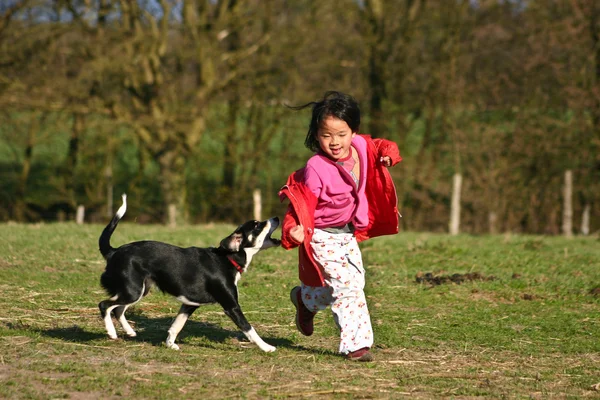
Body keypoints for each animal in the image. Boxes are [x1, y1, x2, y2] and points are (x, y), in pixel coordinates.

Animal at [98, 195, 282, 352]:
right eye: (257, 225)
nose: (277, 218)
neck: (227, 259)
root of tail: (114, 251)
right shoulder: (231, 307)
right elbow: (249, 328)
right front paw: (266, 347)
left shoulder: (189, 304)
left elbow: (176, 326)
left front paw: (170, 344)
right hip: (133, 291)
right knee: (105, 305)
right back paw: (111, 332)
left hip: (138, 290)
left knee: (118, 310)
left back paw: (129, 331)